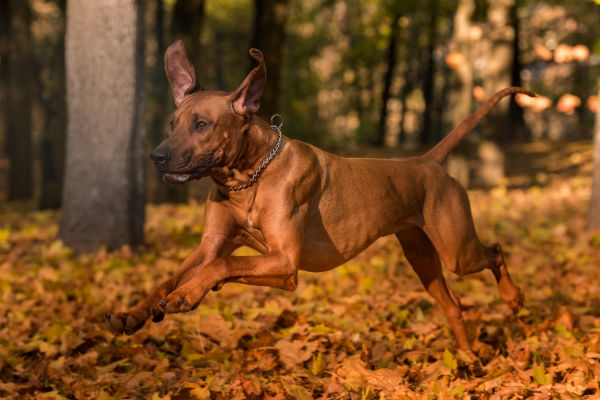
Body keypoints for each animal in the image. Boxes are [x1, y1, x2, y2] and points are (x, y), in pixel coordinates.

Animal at [105, 40, 532, 352]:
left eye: (201, 124)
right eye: (172, 124)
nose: (157, 157)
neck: (249, 178)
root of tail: (427, 161)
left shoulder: (285, 262)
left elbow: (225, 265)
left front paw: (188, 294)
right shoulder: (213, 245)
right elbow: (174, 276)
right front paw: (135, 313)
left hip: (457, 250)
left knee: (495, 251)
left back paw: (512, 298)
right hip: (422, 256)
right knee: (455, 306)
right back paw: (467, 357)